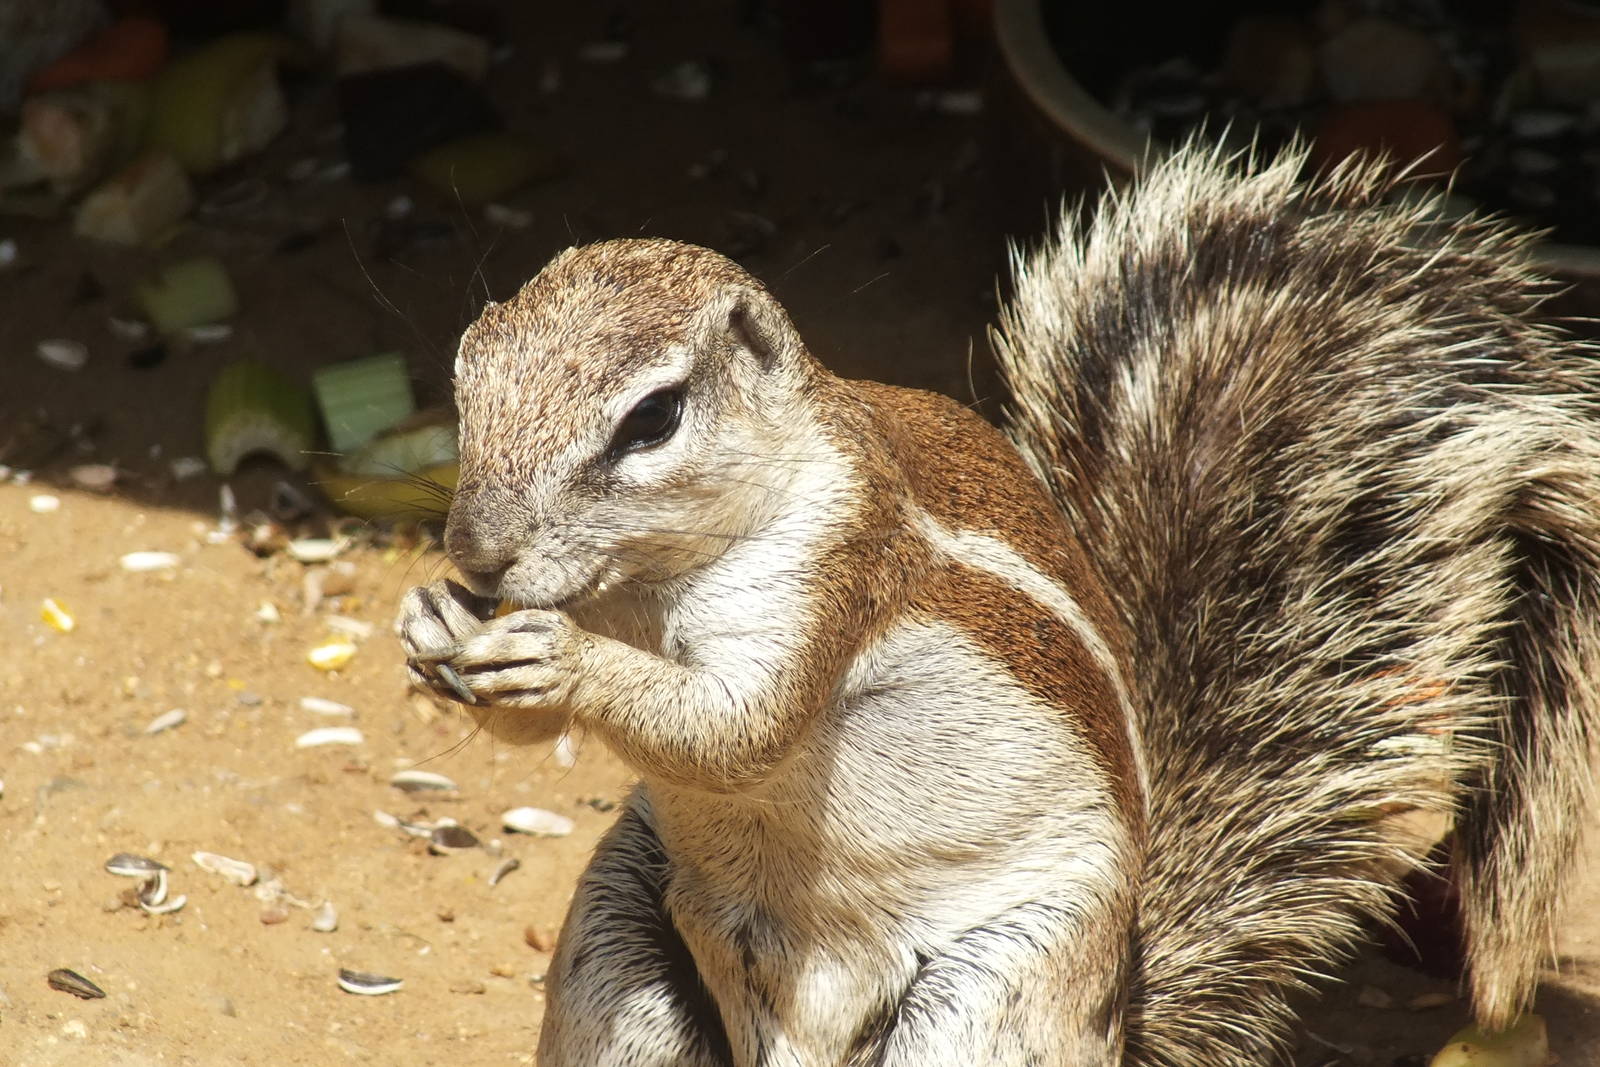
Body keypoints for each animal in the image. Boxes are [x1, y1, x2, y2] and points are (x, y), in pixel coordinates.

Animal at [398, 142, 1600, 1067]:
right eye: (464, 374)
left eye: (652, 418)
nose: (477, 557)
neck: (642, 587)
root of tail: (1118, 1022)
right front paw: (432, 629)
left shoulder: (830, 570)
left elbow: (741, 723)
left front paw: (562, 661)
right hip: (620, 956)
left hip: (995, 993)